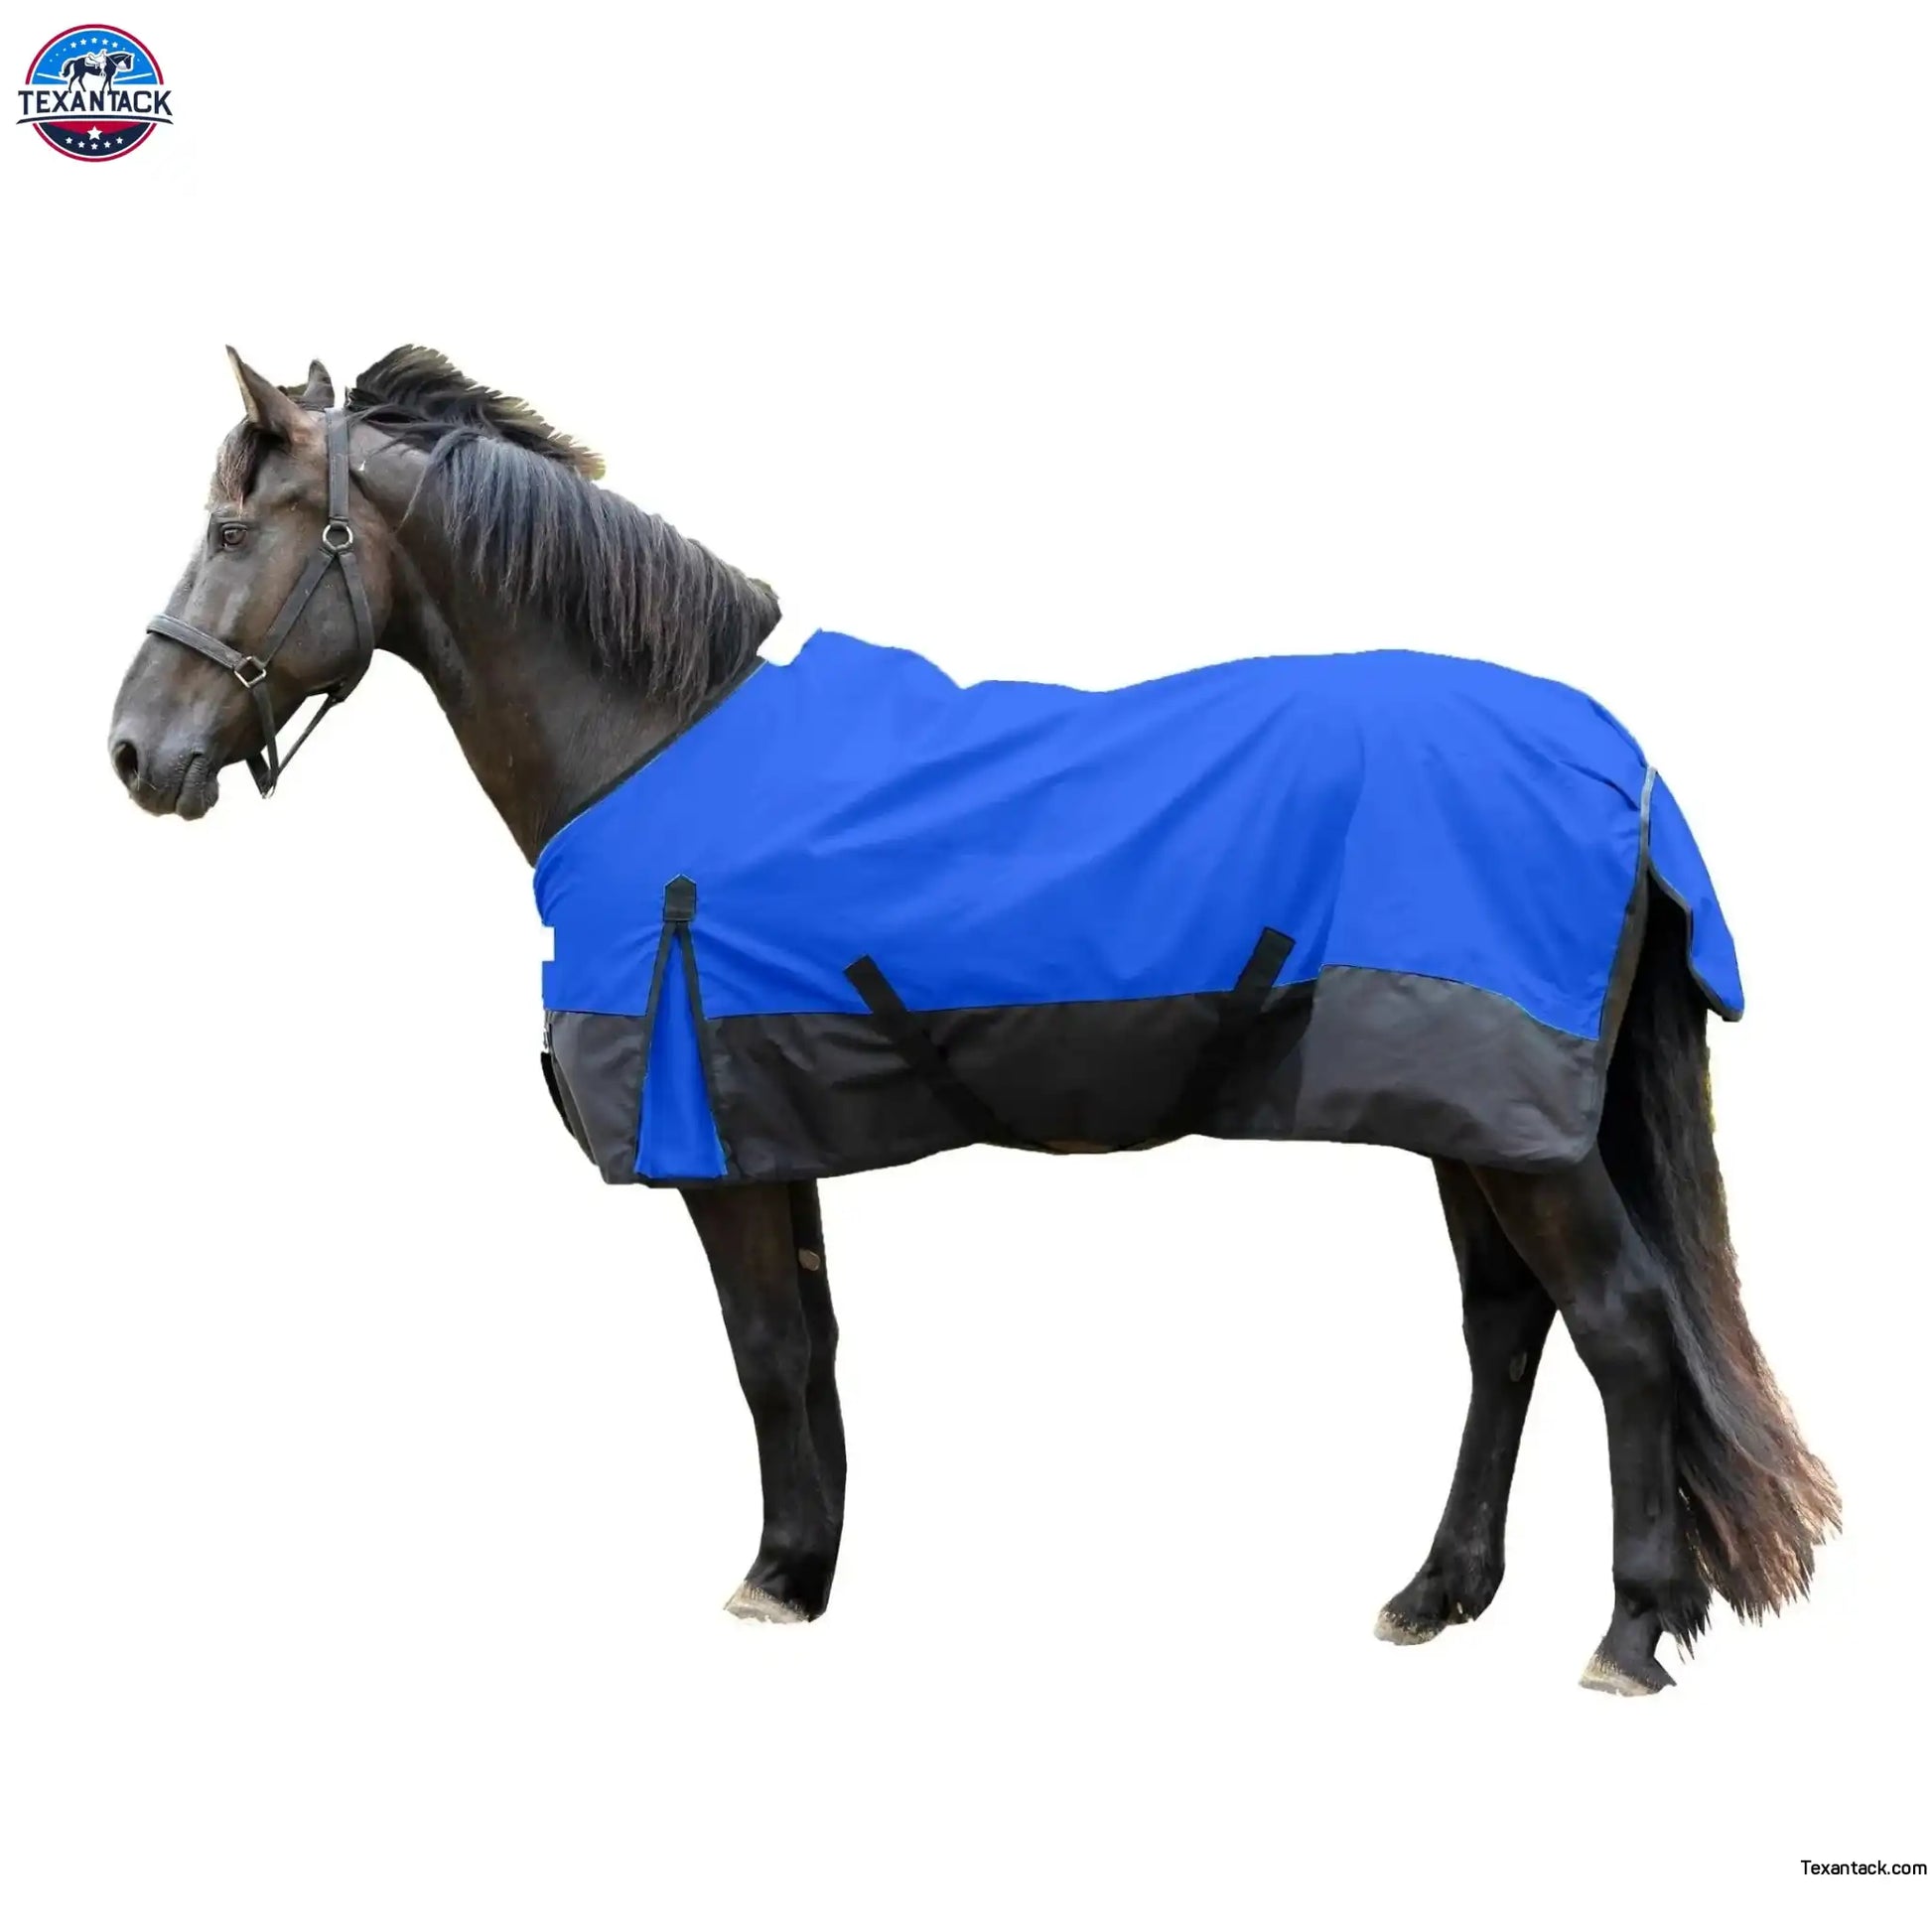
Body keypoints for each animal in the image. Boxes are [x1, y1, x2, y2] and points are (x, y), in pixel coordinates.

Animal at [106, 346, 1839, 1694]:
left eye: (230, 526)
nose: (132, 750)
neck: (654, 744)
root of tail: (1618, 763)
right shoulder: (768, 1127)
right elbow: (805, 1347)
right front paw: (804, 1566)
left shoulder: (716, 1140)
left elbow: (762, 1349)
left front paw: (771, 1577)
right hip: (1466, 1119)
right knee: (1505, 1328)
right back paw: (1438, 1594)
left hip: (1519, 1133)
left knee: (1620, 1328)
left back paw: (1626, 1631)